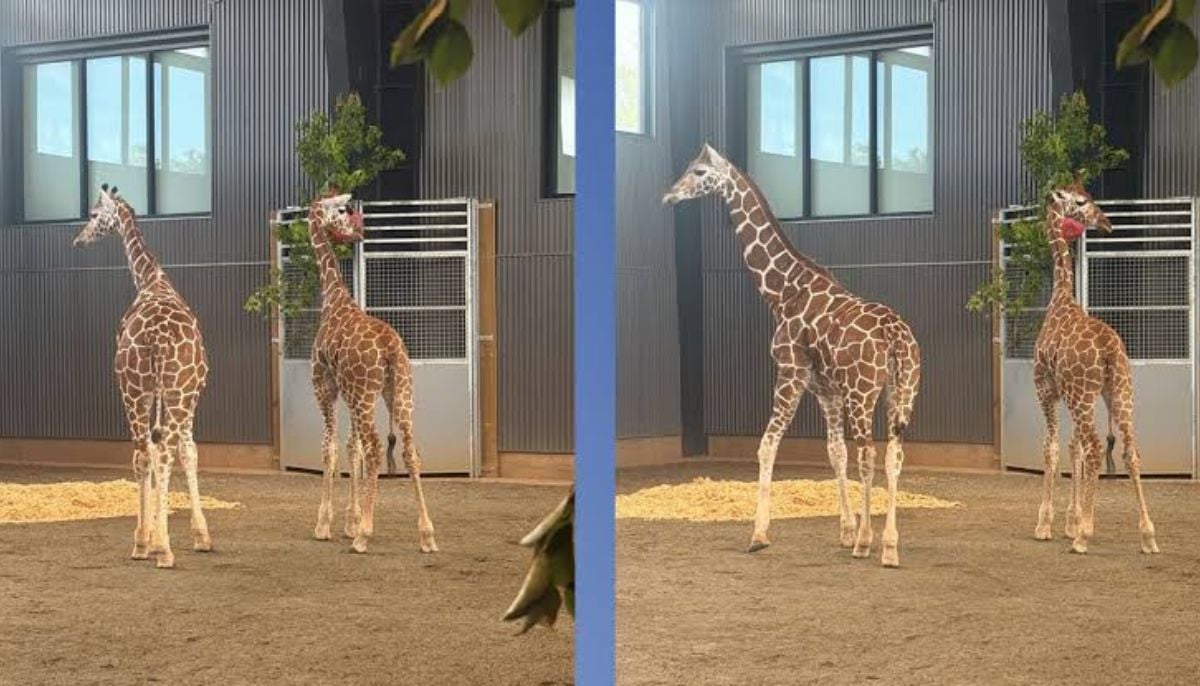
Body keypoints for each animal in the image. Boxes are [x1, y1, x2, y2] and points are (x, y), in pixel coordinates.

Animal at [73, 185, 211, 569]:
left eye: (93, 214)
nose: (78, 240)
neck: (152, 280)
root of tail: (157, 339)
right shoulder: (186, 395)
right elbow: (187, 450)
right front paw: (199, 535)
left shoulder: (173, 394)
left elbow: (176, 449)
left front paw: (191, 535)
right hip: (161, 391)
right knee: (156, 451)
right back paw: (158, 546)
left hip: (136, 390)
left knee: (145, 452)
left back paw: (146, 544)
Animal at [306, 192, 438, 555]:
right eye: (343, 210)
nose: (357, 233)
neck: (334, 299)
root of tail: (390, 347)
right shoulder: (348, 393)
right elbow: (353, 448)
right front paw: (349, 521)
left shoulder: (325, 387)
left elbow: (331, 448)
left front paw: (326, 525)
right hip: (399, 392)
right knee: (409, 451)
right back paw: (427, 534)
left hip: (366, 395)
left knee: (378, 448)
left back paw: (365, 534)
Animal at [663, 144, 922, 567]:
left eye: (699, 172)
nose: (670, 195)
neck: (783, 292)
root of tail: (895, 335)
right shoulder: (826, 390)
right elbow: (835, 453)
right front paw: (845, 530)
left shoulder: (790, 373)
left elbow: (767, 445)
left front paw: (759, 534)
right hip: (903, 391)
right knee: (893, 454)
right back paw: (888, 545)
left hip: (863, 393)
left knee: (869, 452)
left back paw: (868, 542)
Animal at [1031, 182, 1159, 555]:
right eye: (1081, 201)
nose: (1106, 222)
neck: (1060, 299)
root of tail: (1110, 351)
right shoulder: (1067, 395)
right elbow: (1073, 448)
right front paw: (1071, 521)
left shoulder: (1045, 389)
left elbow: (1052, 448)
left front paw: (1048, 524)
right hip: (1119, 391)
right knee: (1130, 451)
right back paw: (1148, 535)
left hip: (1083, 395)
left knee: (1098, 447)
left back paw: (1084, 537)